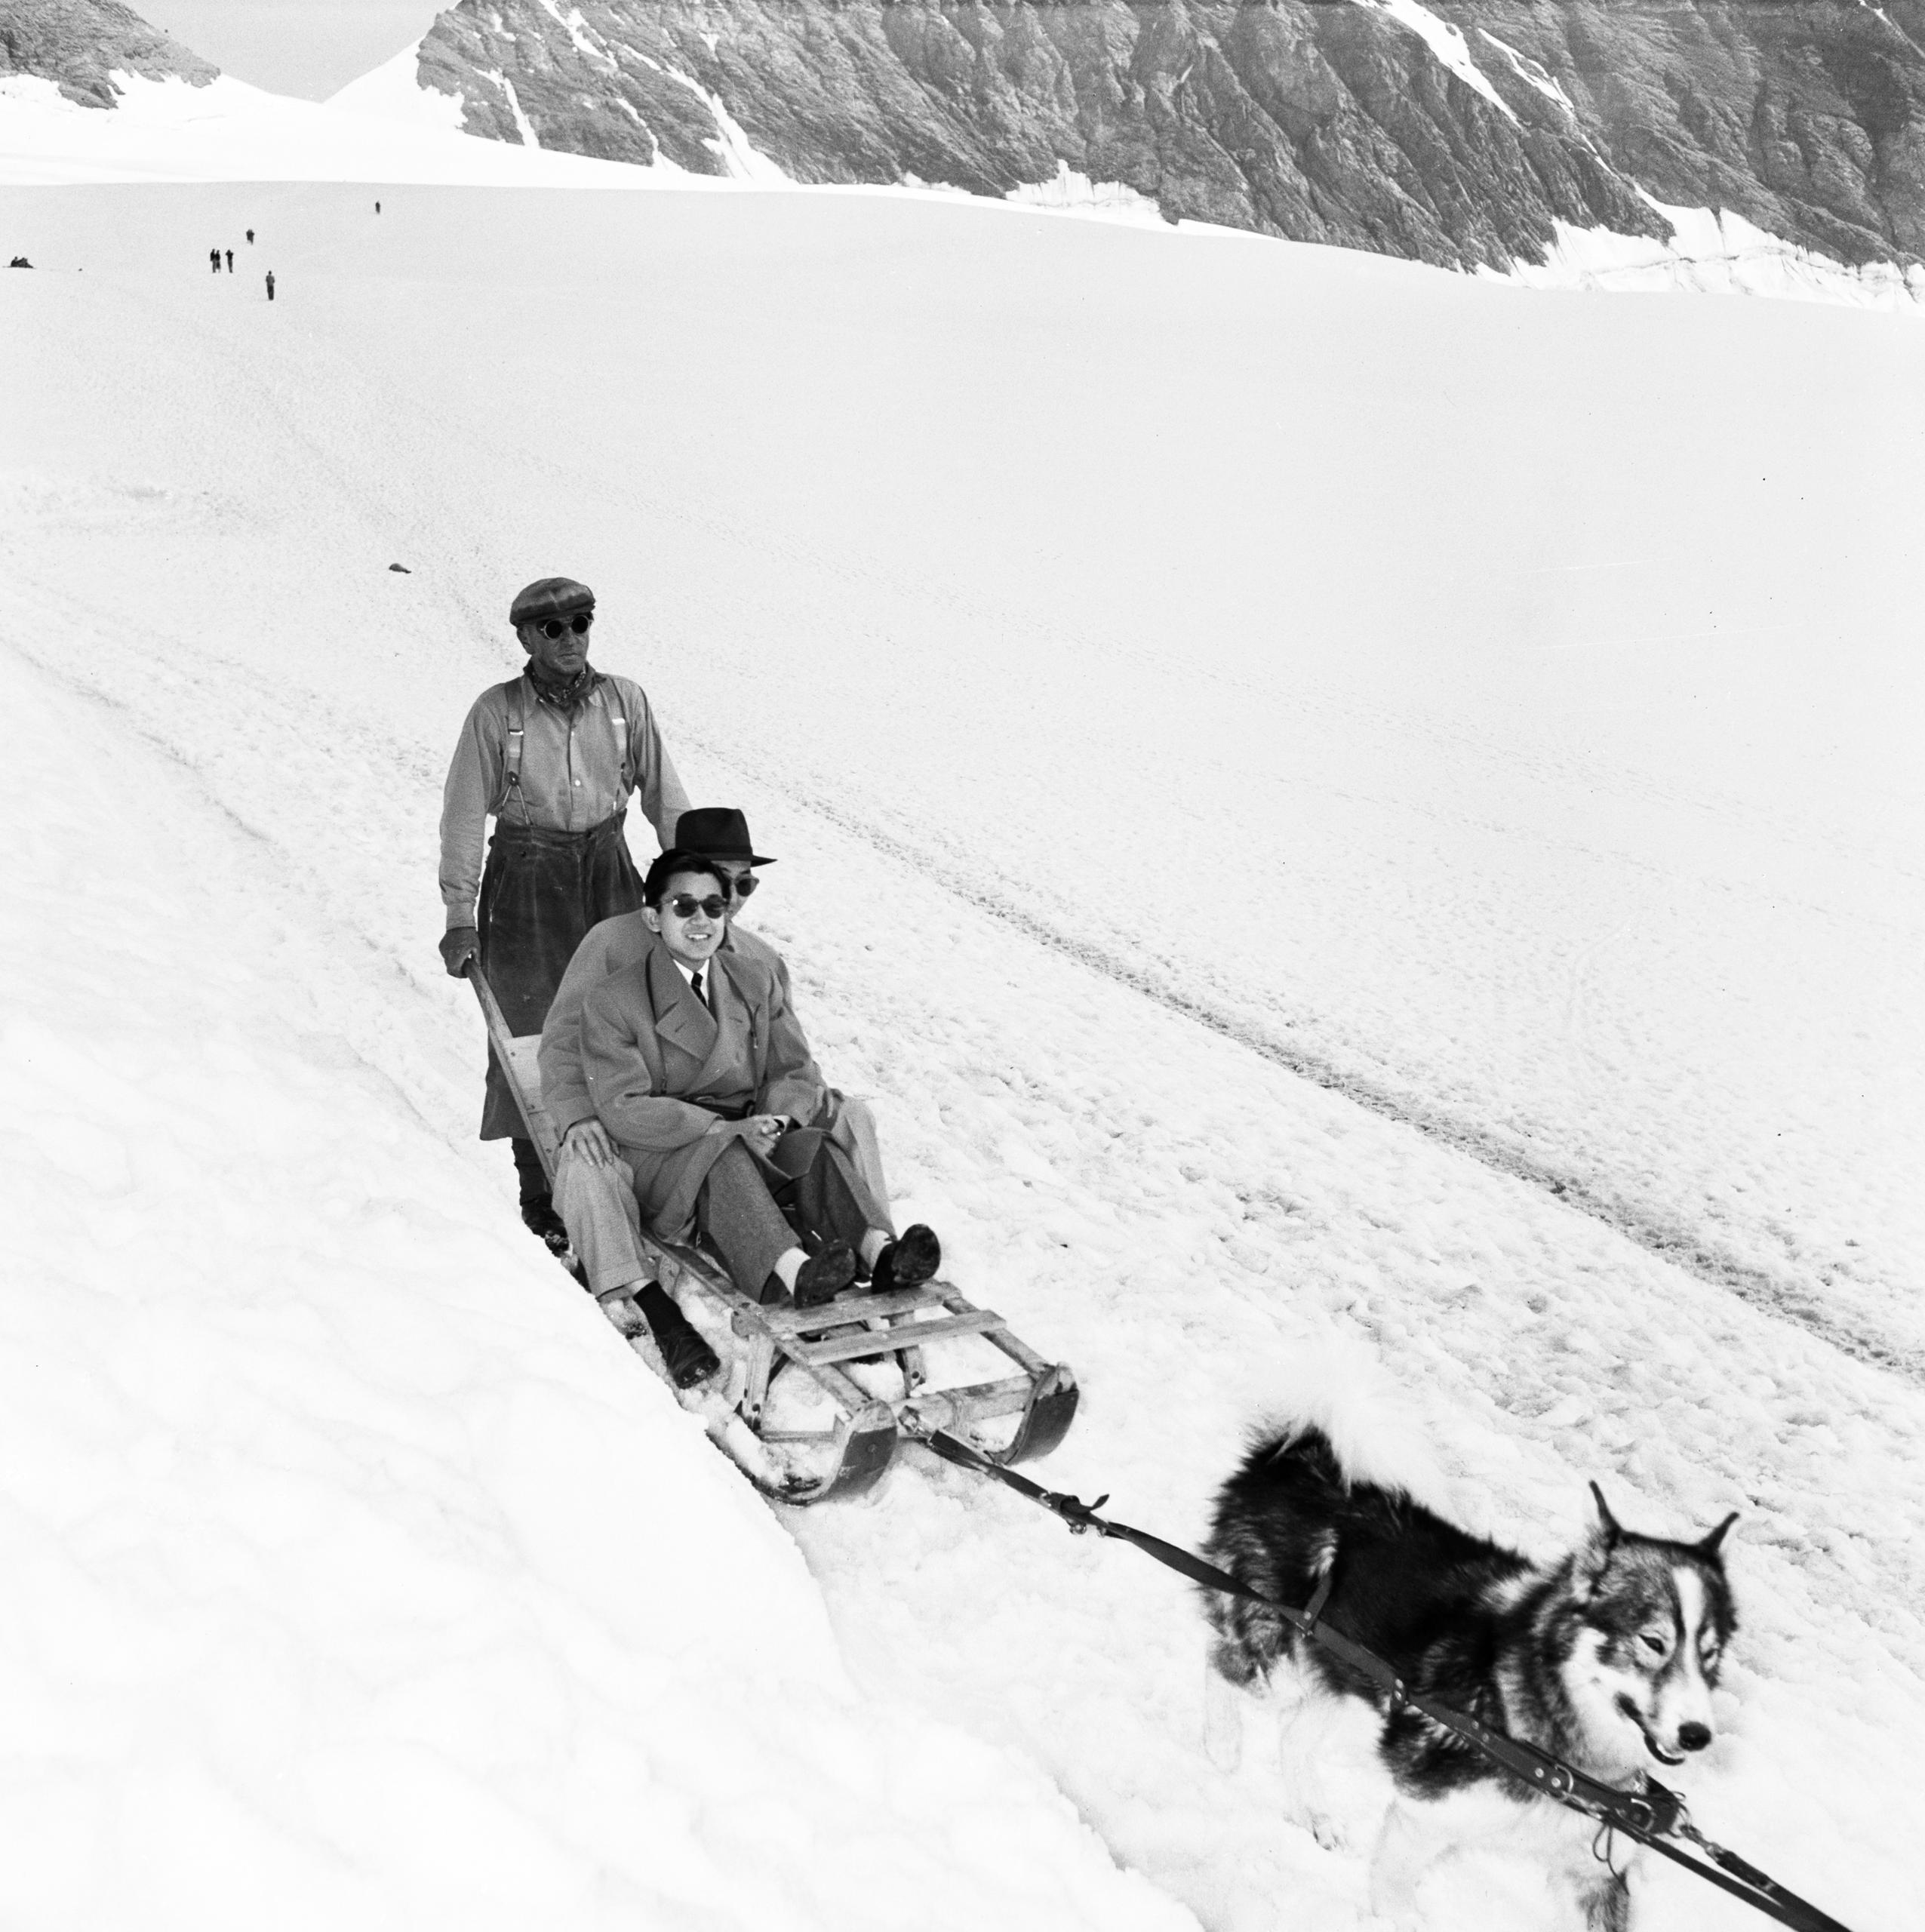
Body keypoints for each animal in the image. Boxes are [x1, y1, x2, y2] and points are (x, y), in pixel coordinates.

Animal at [1206, 1422, 1731, 1932]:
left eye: (1710, 1655)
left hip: (1344, 1675)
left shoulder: (1593, 1875)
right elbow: (1396, 1898)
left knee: (1294, 1734)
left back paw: (1312, 1814)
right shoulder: (1426, 1816)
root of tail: (1304, 1457)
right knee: (1222, 1666)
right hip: (1274, 1654)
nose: (1698, 1734)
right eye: (1653, 1642)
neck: (1562, 1766)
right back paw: (1223, 1742)